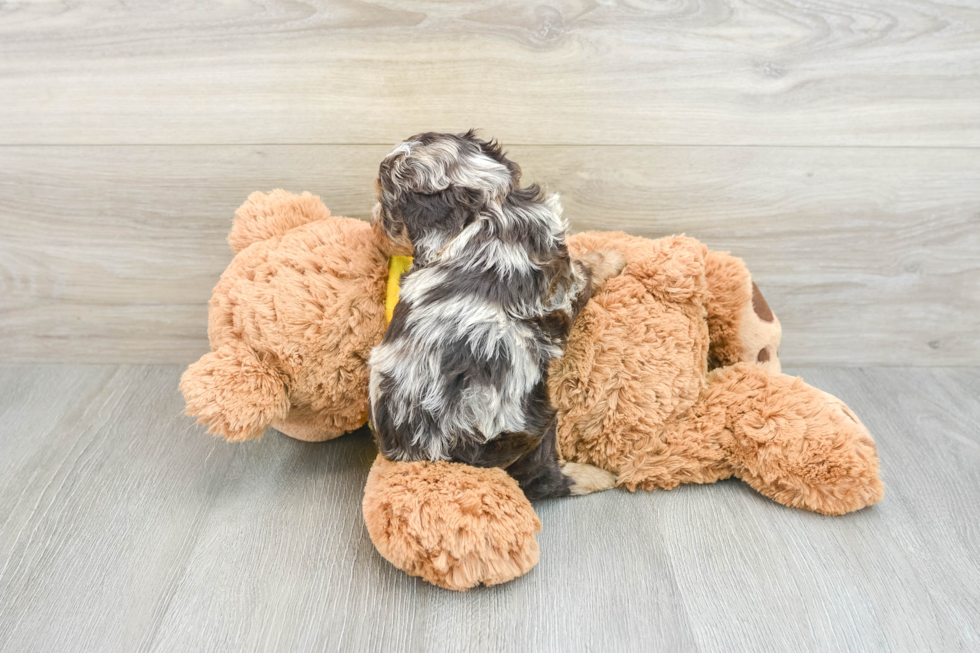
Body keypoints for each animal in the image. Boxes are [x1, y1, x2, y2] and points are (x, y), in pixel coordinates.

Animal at [364, 132, 624, 500]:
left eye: (387, 210)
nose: (374, 225)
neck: (490, 205)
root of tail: (427, 452)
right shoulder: (565, 283)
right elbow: (587, 267)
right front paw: (614, 257)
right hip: (531, 423)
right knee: (542, 478)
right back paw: (596, 476)